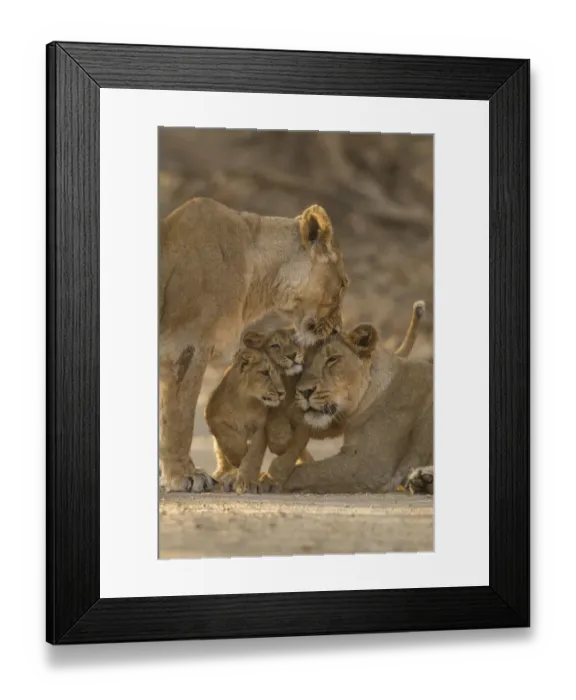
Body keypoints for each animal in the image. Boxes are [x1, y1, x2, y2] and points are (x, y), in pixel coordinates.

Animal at [204, 347, 286, 494]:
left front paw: (248, 482)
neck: (245, 402)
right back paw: (223, 477)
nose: (282, 393)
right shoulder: (213, 417)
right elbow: (227, 438)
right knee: (223, 460)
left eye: (278, 374)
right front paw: (238, 456)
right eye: (265, 373)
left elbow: (253, 455)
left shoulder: (260, 427)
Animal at [259, 304, 433, 495]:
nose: (304, 391)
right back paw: (423, 480)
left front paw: (267, 480)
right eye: (302, 362)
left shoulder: (369, 464)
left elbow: (306, 472)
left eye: (332, 359)